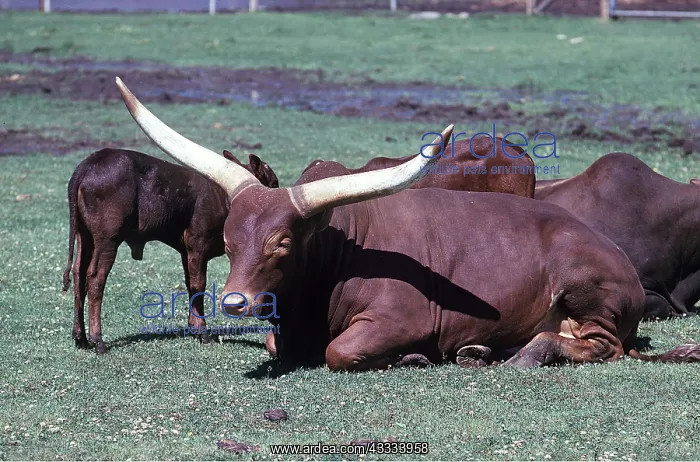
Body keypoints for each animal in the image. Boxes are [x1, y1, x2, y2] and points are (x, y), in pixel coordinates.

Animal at [62, 147, 279, 354]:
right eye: (274, 184)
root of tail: (90, 163)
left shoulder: (186, 252)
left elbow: (190, 284)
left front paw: (194, 327)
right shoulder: (198, 245)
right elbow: (199, 285)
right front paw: (203, 332)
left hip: (84, 236)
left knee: (79, 274)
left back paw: (80, 337)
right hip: (107, 240)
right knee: (95, 278)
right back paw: (98, 340)